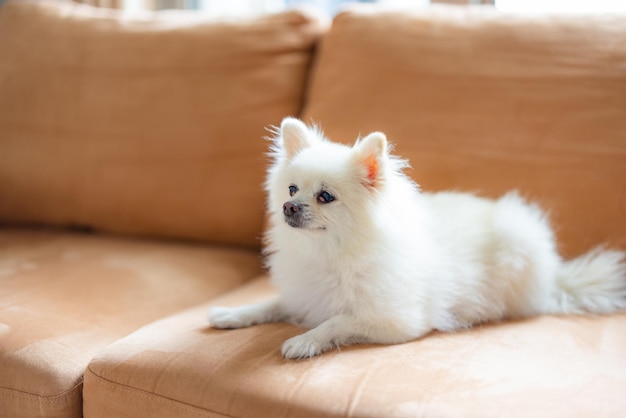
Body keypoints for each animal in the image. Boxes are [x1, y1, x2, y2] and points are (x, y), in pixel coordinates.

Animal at [210, 116, 624, 360]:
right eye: (292, 189)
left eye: (325, 196)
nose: (289, 207)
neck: (331, 252)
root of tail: (555, 275)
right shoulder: (304, 295)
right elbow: (272, 303)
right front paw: (233, 313)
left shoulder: (396, 322)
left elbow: (338, 321)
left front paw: (305, 340)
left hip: (517, 239)